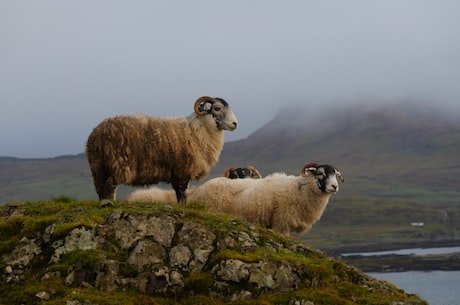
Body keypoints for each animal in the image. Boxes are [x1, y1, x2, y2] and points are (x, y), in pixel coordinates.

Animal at [85, 95, 237, 204]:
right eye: (217, 108)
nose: (235, 124)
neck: (194, 130)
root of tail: (97, 133)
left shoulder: (177, 173)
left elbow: (179, 195)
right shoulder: (182, 171)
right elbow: (182, 195)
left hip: (98, 167)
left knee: (101, 189)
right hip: (116, 163)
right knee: (111, 186)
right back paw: (110, 203)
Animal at [189, 163, 344, 234]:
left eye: (335, 174)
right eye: (320, 173)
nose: (334, 186)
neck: (298, 189)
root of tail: (200, 189)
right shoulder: (281, 224)